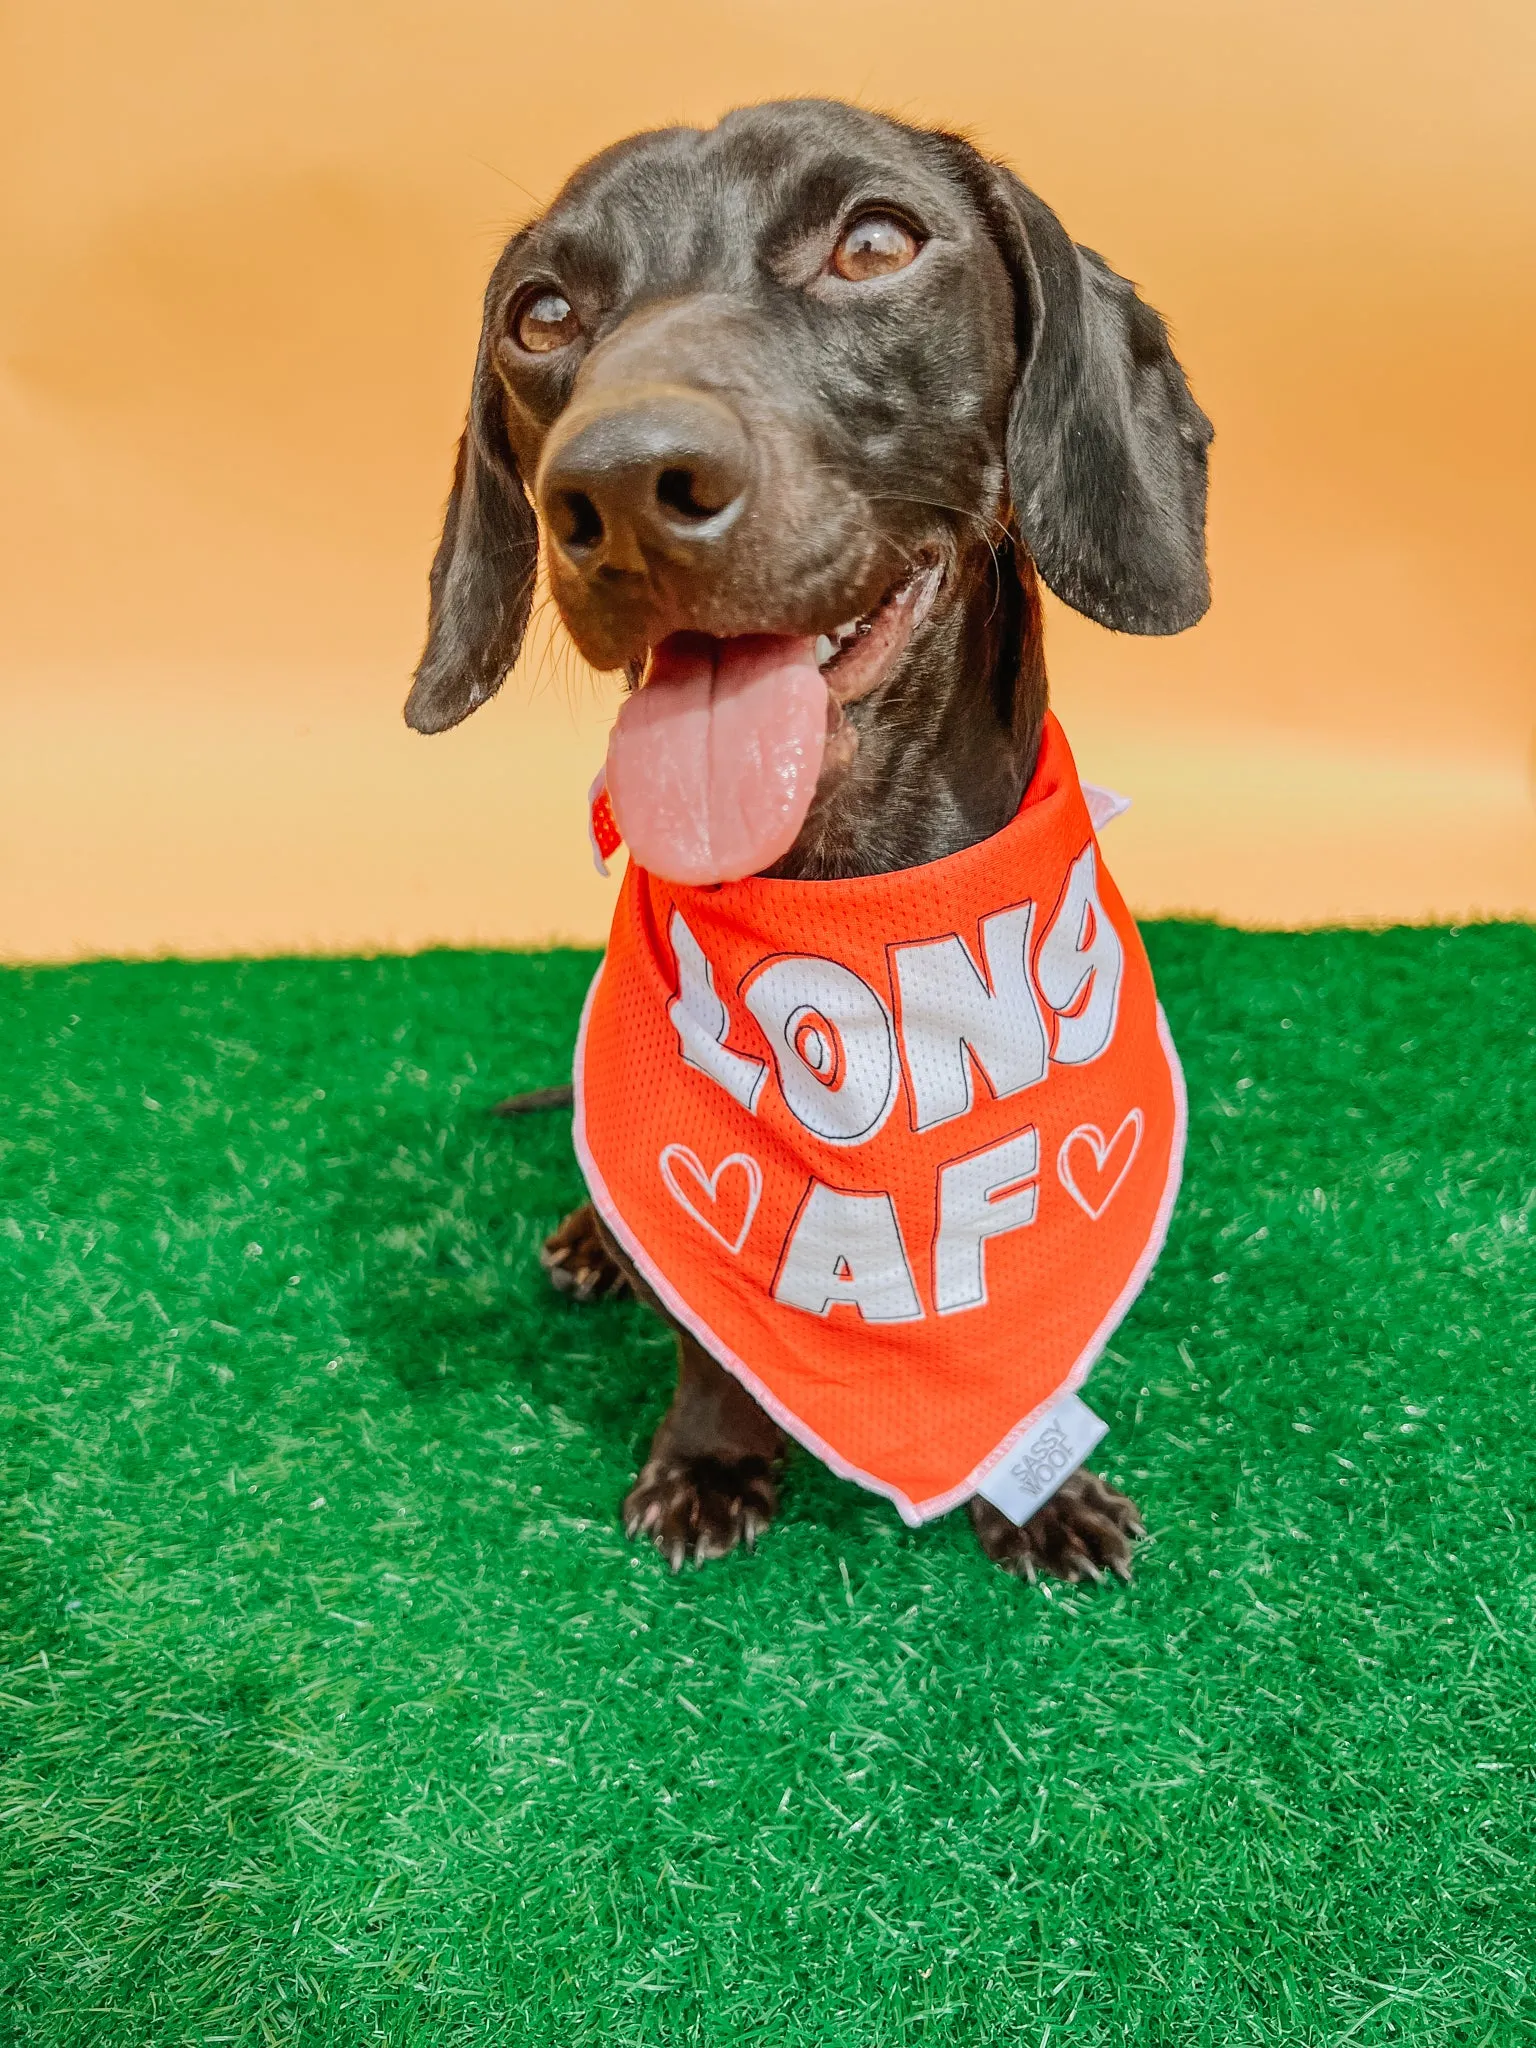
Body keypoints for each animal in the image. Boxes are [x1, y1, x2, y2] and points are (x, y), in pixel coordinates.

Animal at [405, 99, 1212, 1581]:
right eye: (541, 315)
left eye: (875, 243)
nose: (622, 485)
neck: (853, 895)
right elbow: (705, 1332)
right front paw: (710, 1456)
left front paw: (1043, 1491)